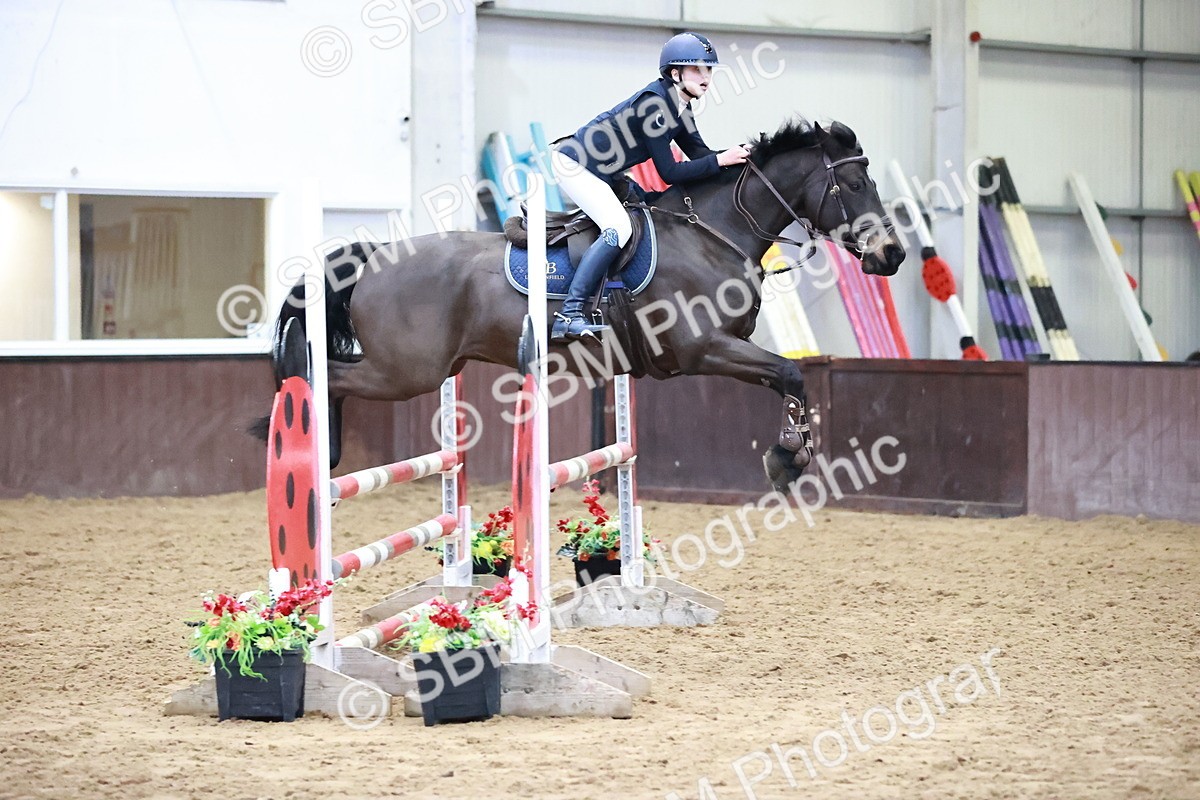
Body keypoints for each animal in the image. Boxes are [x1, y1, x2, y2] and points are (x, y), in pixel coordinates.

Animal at [258, 118, 905, 494]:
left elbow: (789, 380)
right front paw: (787, 457)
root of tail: (373, 257)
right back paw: (306, 447)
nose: (892, 254)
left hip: (423, 369)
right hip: (405, 371)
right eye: (854, 186)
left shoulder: (720, 349)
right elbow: (791, 373)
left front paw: (793, 453)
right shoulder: (704, 349)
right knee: (320, 373)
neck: (714, 231)